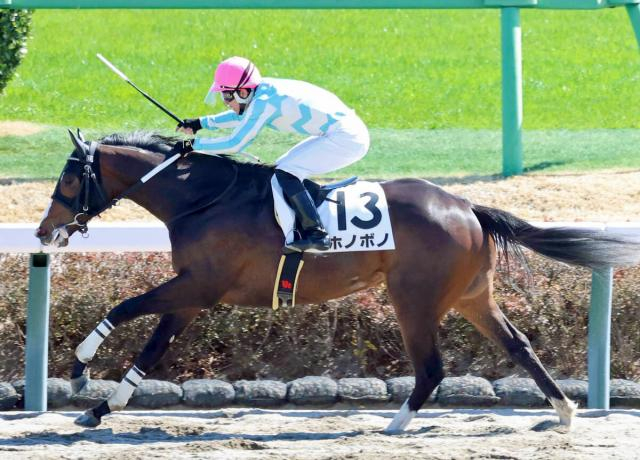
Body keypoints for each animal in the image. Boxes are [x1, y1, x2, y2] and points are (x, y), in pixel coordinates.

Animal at [36, 129, 640, 431]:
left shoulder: (199, 286)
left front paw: (80, 372)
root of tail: (467, 206)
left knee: (432, 367)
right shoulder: (190, 293)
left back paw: (395, 424)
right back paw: (563, 411)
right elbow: (151, 349)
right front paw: (99, 408)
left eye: (67, 177)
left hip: (413, 298)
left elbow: (122, 308)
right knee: (518, 345)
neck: (202, 198)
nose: (44, 231)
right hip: (472, 296)